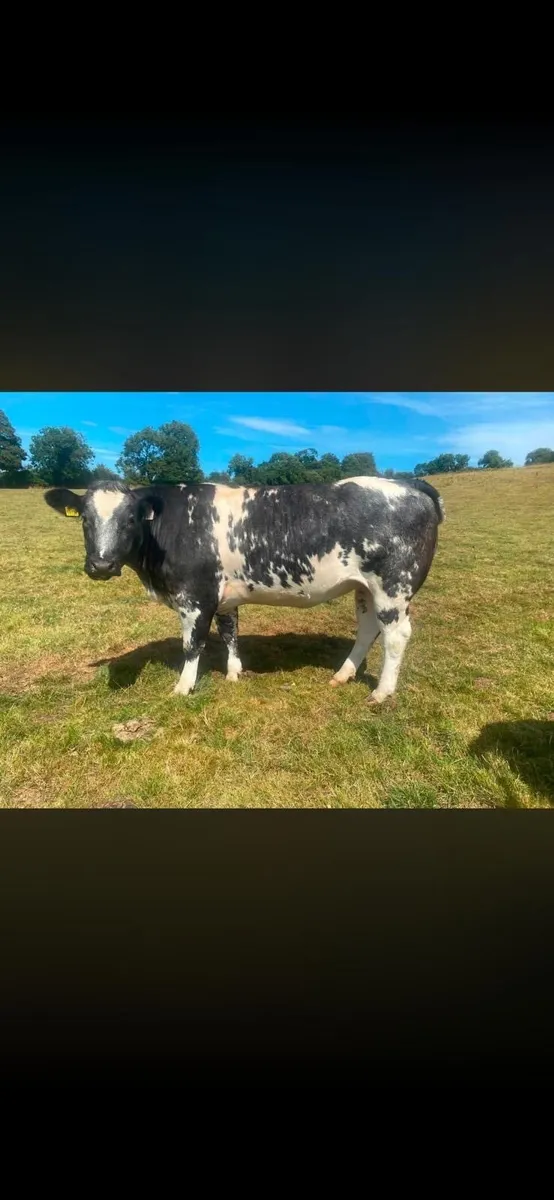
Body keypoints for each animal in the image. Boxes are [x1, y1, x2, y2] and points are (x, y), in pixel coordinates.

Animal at [44, 475, 444, 704]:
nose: (101, 566)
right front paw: (235, 672)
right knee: (367, 629)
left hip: (394, 585)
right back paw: (343, 675)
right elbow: (230, 631)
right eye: (84, 518)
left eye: (129, 519)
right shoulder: (223, 596)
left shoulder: (196, 595)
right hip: (365, 588)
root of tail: (408, 483)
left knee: (396, 635)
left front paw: (183, 687)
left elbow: (193, 645)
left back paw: (381, 693)